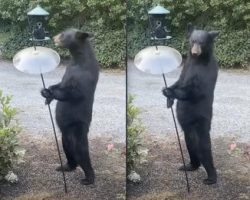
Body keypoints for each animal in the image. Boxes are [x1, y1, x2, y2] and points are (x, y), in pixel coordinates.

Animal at [41, 28, 99, 184]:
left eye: (63, 34)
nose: (54, 37)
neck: (78, 60)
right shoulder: (68, 70)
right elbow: (61, 83)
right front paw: (48, 95)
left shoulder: (85, 76)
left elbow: (74, 93)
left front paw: (49, 92)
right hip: (65, 135)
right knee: (67, 149)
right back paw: (66, 166)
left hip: (77, 127)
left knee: (81, 151)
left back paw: (88, 178)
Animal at [162, 23, 219, 184]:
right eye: (193, 41)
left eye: (202, 42)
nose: (194, 51)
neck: (196, 61)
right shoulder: (186, 66)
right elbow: (180, 80)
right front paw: (169, 99)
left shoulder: (205, 71)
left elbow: (195, 91)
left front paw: (169, 92)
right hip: (187, 127)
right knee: (190, 143)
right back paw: (190, 165)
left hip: (200, 121)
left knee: (203, 146)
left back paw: (211, 177)